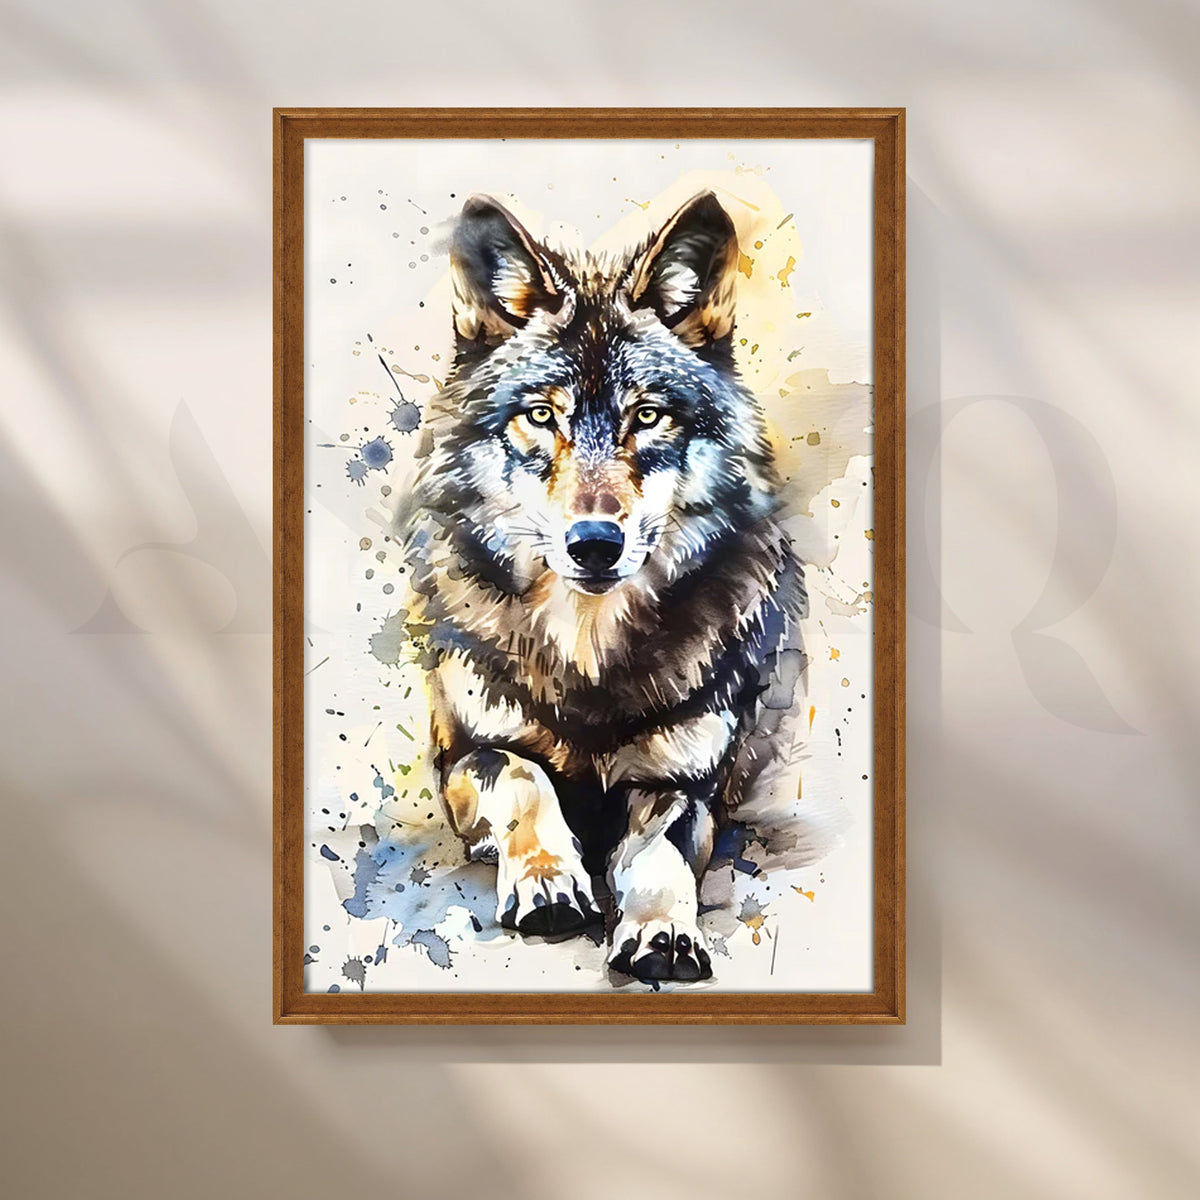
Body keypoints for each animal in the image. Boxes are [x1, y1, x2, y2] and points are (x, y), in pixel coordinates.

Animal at [400, 191, 807, 983]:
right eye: (541, 415)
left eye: (646, 415)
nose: (594, 543)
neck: (588, 654)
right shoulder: (467, 753)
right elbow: (525, 780)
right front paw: (550, 881)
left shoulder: (684, 784)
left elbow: (660, 860)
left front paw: (662, 932)